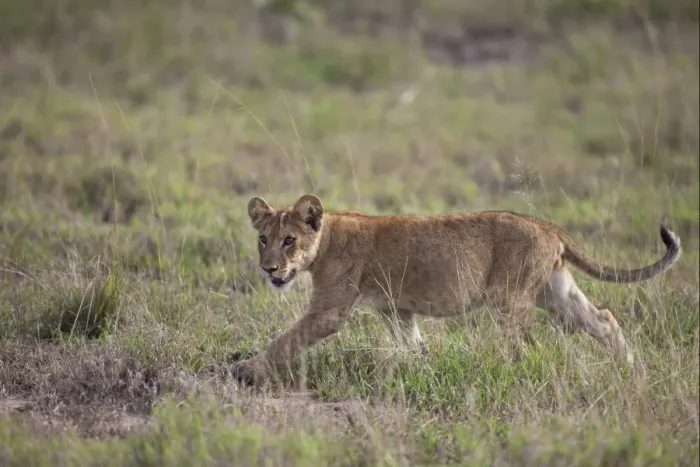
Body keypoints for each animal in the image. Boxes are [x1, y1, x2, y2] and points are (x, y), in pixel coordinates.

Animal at [231, 194, 681, 385]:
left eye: (289, 240)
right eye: (263, 239)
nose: (268, 268)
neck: (325, 240)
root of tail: (547, 225)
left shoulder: (329, 310)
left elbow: (286, 339)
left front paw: (249, 369)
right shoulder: (396, 310)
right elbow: (414, 345)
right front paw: (425, 370)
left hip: (509, 298)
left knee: (523, 347)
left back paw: (506, 376)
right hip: (556, 292)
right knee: (604, 318)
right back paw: (633, 369)